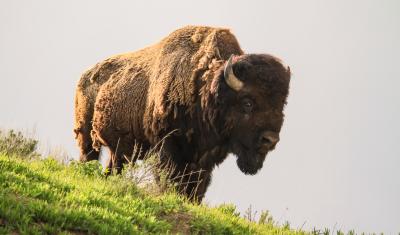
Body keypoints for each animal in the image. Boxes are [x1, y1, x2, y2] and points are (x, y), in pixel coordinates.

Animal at [73, 26, 290, 202]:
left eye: (282, 105)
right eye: (247, 102)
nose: (270, 140)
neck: (204, 88)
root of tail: (85, 75)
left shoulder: (203, 161)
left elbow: (197, 188)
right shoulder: (167, 146)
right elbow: (170, 178)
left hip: (121, 151)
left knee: (114, 167)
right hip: (86, 136)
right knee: (89, 156)